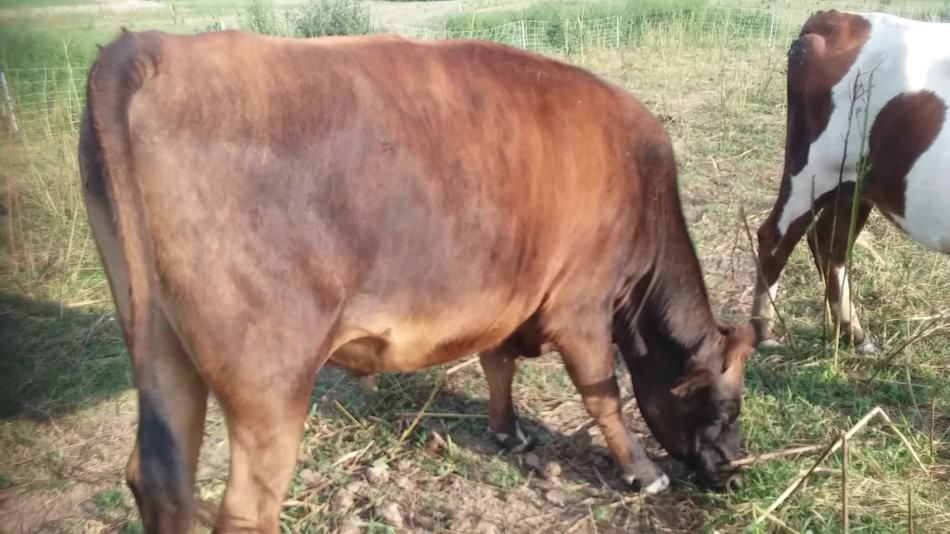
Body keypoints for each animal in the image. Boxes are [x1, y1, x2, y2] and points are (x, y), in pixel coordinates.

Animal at [80, 30, 760, 534]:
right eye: (724, 406)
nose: (734, 471)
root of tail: (154, 47)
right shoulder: (581, 306)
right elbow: (605, 397)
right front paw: (643, 471)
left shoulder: (508, 293)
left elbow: (497, 364)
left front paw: (509, 433)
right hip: (269, 378)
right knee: (246, 509)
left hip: (161, 344)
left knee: (158, 479)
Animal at [756, 10, 948, 354]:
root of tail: (841, 17)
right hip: (812, 170)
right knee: (775, 237)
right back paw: (764, 331)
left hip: (854, 183)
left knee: (829, 244)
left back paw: (853, 333)